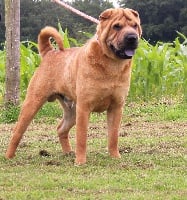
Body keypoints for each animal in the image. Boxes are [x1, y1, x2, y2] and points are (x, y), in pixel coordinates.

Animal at [5, 7, 142, 164]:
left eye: (135, 25)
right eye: (116, 26)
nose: (132, 37)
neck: (111, 64)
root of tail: (49, 53)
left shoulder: (116, 107)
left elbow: (113, 136)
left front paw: (115, 156)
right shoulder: (84, 107)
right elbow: (81, 138)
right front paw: (80, 161)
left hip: (72, 110)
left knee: (61, 129)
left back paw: (68, 152)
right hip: (33, 102)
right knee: (17, 131)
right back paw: (9, 156)